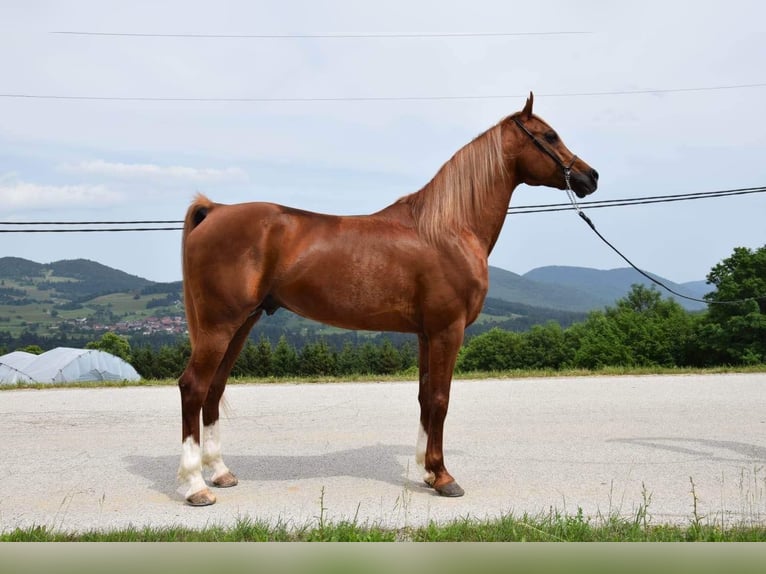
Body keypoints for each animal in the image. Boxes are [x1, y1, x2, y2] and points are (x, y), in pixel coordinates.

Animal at [178, 93, 600, 508]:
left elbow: (425, 398)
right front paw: (444, 477)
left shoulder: (427, 334)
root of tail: (215, 210)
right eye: (548, 136)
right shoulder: (448, 330)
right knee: (193, 387)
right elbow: (441, 399)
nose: (590, 176)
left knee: (214, 389)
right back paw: (196, 486)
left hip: (242, 324)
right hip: (220, 326)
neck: (447, 228)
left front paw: (428, 471)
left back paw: (221, 473)